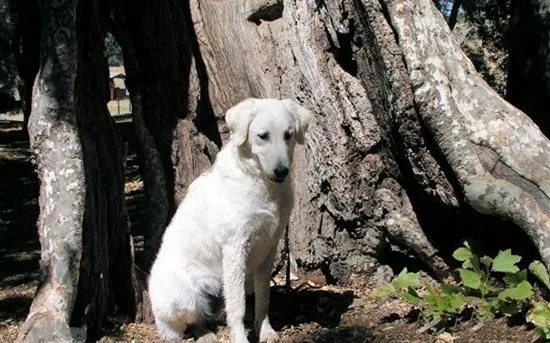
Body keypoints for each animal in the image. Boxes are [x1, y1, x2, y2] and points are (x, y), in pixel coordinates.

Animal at [149, 98, 312, 342]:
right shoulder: (235, 249)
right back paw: (202, 335)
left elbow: (263, 299)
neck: (262, 185)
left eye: (288, 135)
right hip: (184, 296)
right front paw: (240, 338)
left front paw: (265, 331)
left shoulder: (268, 249)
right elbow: (237, 307)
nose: (281, 171)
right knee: (183, 327)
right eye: (262, 136)